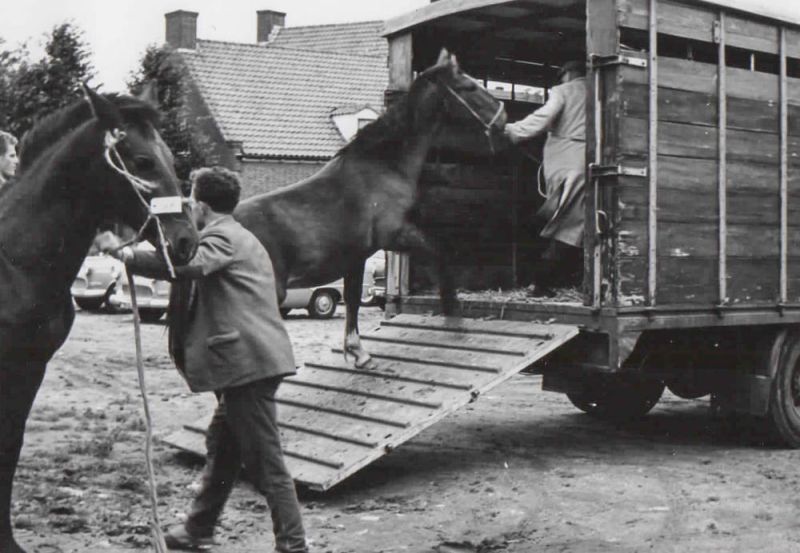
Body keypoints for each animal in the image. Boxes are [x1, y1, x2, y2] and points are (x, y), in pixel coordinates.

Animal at [0, 87, 198, 552]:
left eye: (170, 156)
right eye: (142, 161)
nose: (186, 241)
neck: (15, 264)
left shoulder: (31, 367)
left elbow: (12, 444)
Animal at [234, 47, 506, 366]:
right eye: (469, 87)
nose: (503, 116)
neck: (381, 167)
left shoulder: (356, 256)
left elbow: (352, 299)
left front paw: (357, 351)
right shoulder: (395, 236)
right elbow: (440, 253)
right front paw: (454, 314)